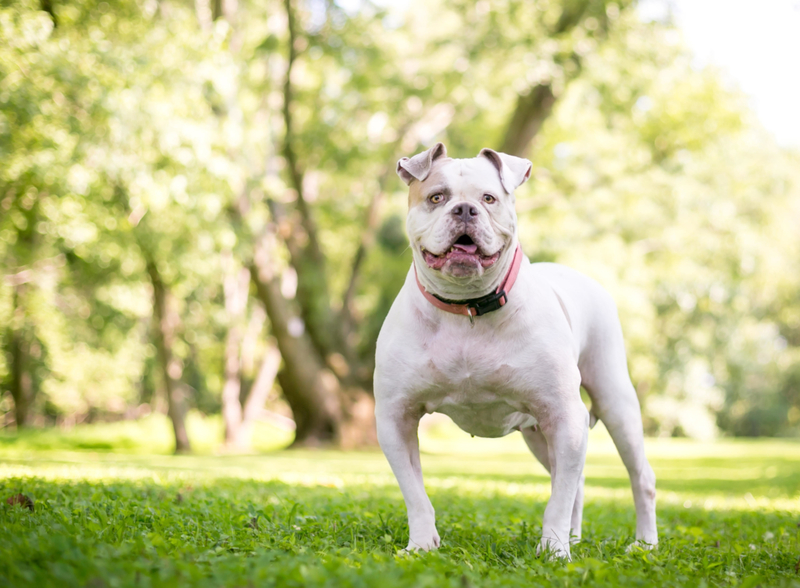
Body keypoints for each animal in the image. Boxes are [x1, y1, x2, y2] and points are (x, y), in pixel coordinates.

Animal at [374, 144, 656, 560]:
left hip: (614, 404)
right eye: (437, 197)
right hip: (540, 435)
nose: (465, 210)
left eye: (489, 198)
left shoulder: (564, 414)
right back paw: (575, 537)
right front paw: (422, 544)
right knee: (575, 482)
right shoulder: (396, 418)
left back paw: (644, 543)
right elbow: (415, 494)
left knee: (637, 477)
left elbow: (557, 499)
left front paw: (554, 552)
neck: (468, 308)